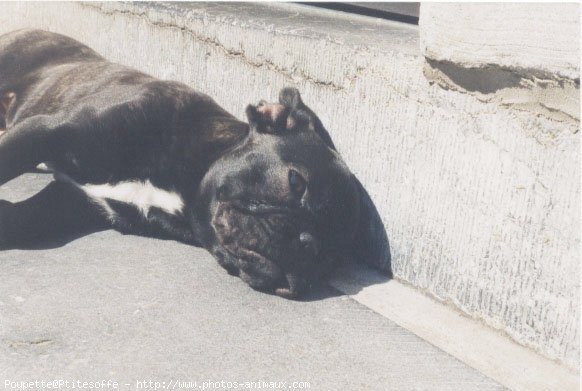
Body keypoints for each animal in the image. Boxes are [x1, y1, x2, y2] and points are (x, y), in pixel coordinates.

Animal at [1, 29, 392, 298]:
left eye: (328, 260)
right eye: (296, 182)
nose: (306, 242)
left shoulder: (74, 203)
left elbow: (20, 222)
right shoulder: (50, 130)